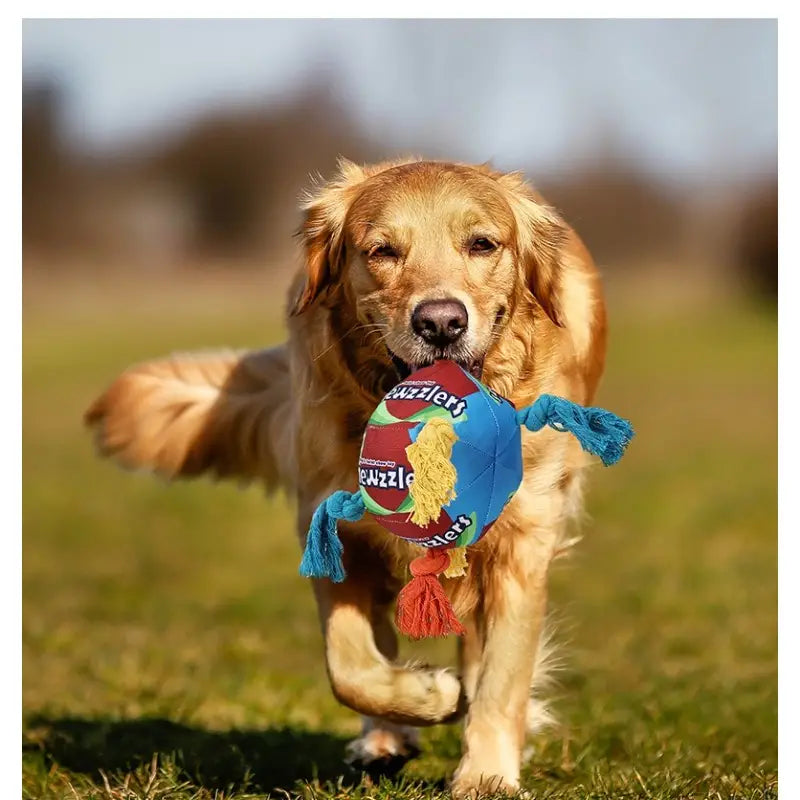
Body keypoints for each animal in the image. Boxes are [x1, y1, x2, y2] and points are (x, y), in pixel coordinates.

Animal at [86, 156, 608, 792]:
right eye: (381, 251)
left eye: (483, 244)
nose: (441, 322)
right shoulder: (331, 528)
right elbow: (350, 667)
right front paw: (426, 695)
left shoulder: (520, 542)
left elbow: (502, 673)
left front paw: (486, 773)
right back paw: (386, 736)